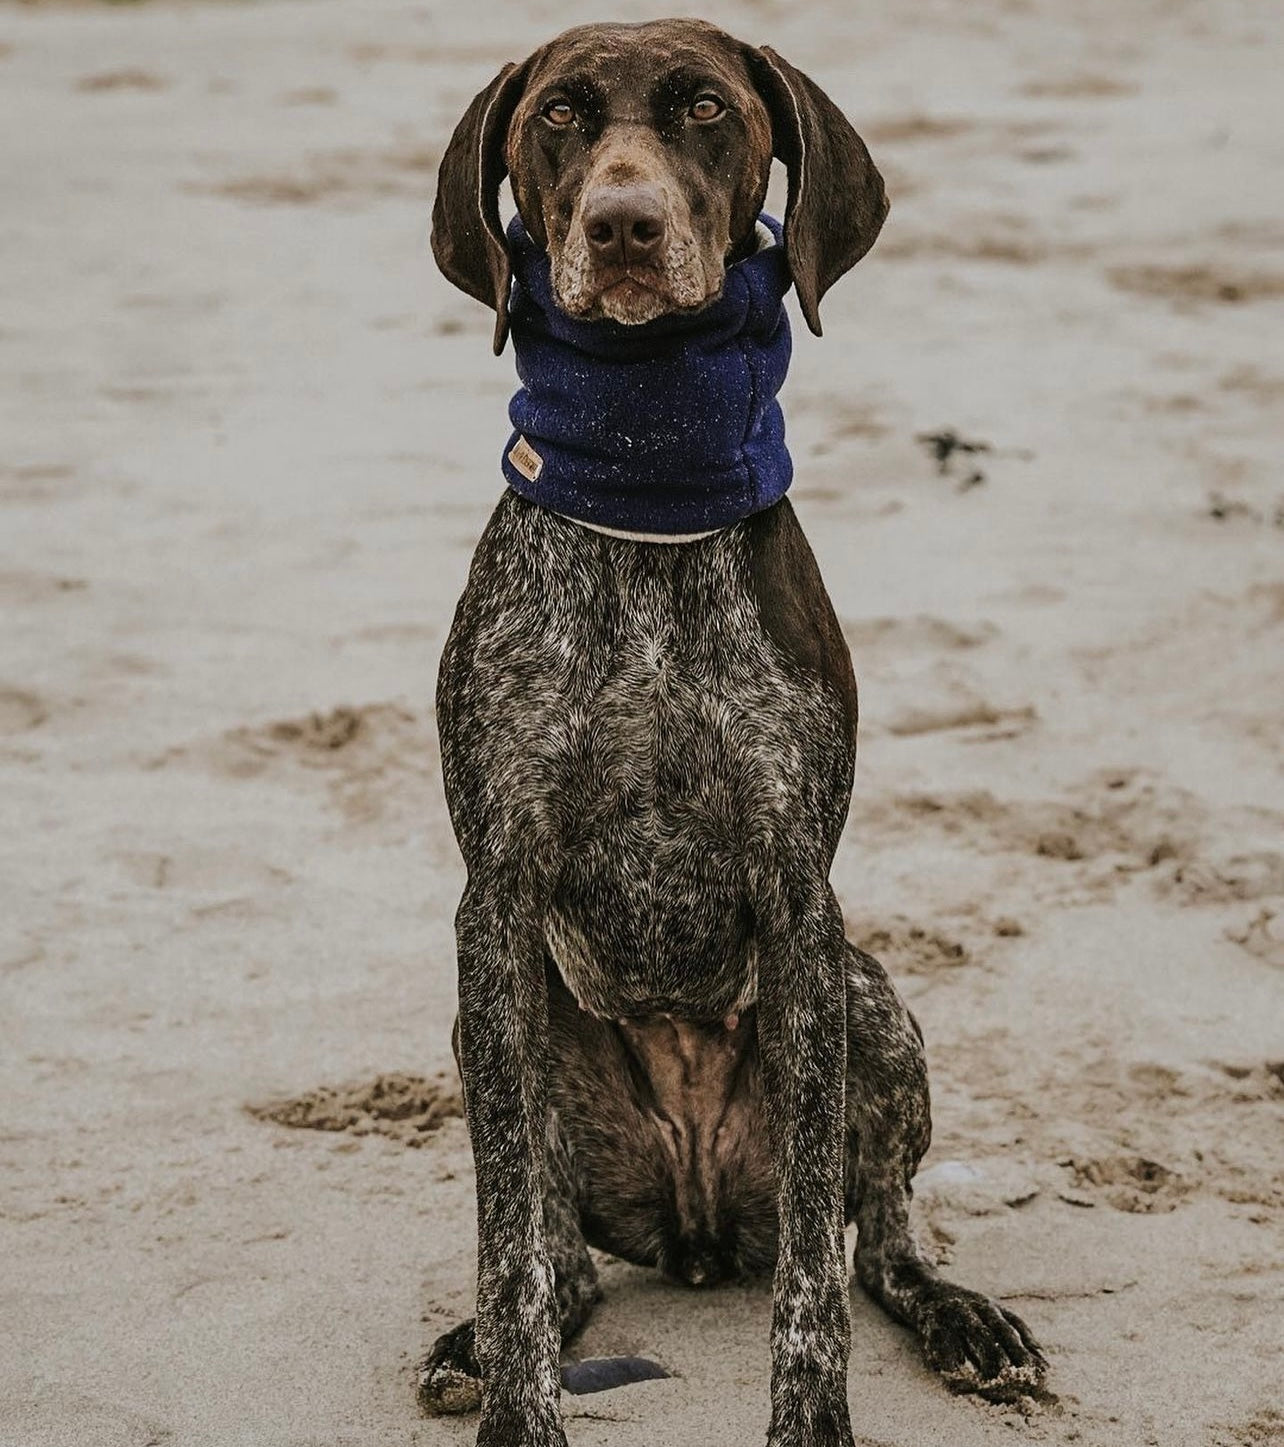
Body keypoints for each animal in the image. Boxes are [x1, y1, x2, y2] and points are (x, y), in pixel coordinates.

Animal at [419, 14, 1042, 1447]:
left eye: (706, 107)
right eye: (557, 116)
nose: (623, 225)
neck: (648, 492)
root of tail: (698, 1221)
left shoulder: (802, 899)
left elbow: (816, 1261)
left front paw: (813, 1422)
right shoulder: (495, 900)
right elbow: (502, 1238)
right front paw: (517, 1407)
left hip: (871, 999)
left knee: (881, 1240)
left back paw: (958, 1316)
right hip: (504, 1027)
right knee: (558, 1256)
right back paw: (490, 1335)